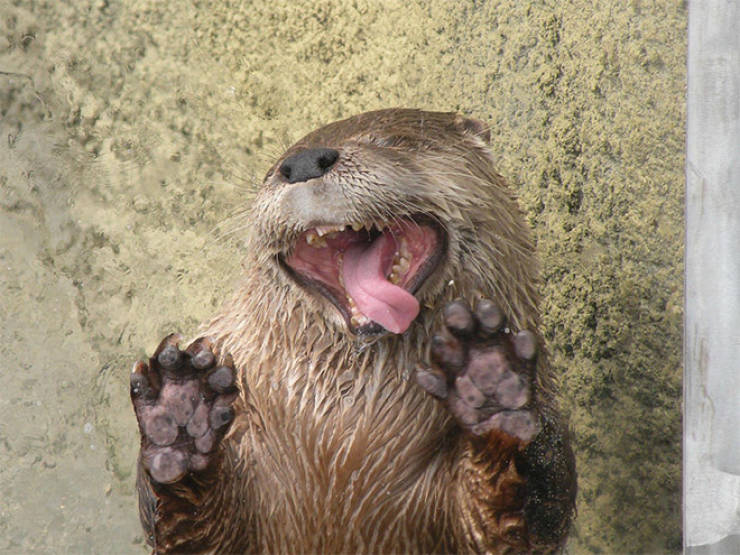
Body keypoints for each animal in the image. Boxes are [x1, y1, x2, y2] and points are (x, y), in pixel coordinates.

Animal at [130, 109, 576, 555]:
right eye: (274, 167)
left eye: (394, 141)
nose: (303, 163)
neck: (341, 432)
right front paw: (181, 411)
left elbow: (511, 522)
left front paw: (488, 378)